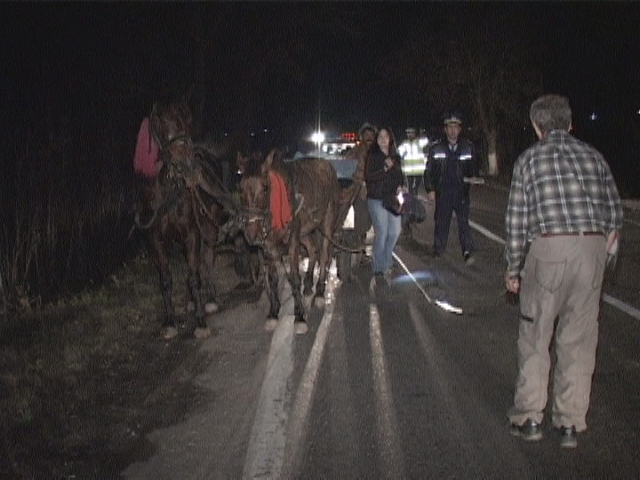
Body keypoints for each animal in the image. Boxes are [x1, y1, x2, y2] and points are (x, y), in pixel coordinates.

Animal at [135, 98, 228, 338]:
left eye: (187, 120)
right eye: (158, 121)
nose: (185, 163)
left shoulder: (191, 234)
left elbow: (195, 276)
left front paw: (200, 321)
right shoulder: (155, 239)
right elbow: (166, 280)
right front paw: (169, 322)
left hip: (209, 227)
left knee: (206, 260)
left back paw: (210, 299)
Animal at [239, 149, 340, 334]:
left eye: (265, 188)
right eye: (240, 189)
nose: (251, 234)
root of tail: (327, 165)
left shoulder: (293, 241)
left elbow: (294, 277)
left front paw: (299, 316)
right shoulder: (269, 246)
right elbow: (272, 279)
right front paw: (273, 312)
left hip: (327, 222)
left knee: (323, 255)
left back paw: (320, 292)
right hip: (305, 230)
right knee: (312, 250)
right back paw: (308, 285)